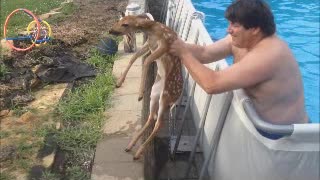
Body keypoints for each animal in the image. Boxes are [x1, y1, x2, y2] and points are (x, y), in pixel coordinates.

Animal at [109, 12, 182, 160]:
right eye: (120, 20)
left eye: (125, 24)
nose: (110, 30)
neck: (153, 30)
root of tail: (177, 96)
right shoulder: (150, 44)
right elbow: (135, 57)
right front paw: (119, 82)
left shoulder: (165, 45)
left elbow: (147, 60)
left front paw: (140, 93)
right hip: (155, 94)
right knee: (151, 117)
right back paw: (131, 145)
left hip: (166, 96)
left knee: (159, 123)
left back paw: (138, 152)